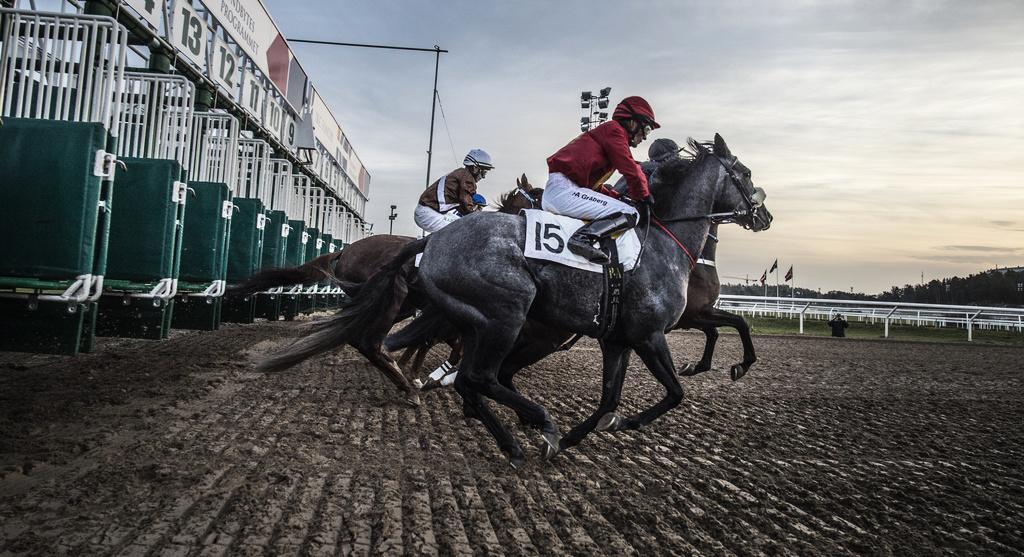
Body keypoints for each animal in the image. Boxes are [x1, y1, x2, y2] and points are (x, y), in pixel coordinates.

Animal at [260, 135, 770, 464]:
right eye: (744, 173)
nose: (763, 215)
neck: (663, 243)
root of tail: (432, 243)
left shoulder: (618, 338)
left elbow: (610, 397)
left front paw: (581, 434)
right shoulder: (648, 334)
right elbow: (674, 392)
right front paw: (625, 423)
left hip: (471, 317)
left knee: (431, 359)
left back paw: (484, 421)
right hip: (503, 313)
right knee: (465, 371)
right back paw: (522, 420)